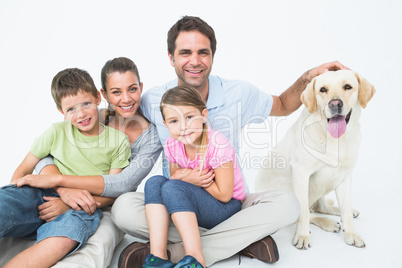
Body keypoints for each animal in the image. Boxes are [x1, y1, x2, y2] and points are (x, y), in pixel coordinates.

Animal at [256, 69, 376, 249]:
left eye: (347, 86)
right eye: (323, 89)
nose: (335, 104)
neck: (336, 140)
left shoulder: (344, 176)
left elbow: (346, 209)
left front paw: (352, 233)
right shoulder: (301, 173)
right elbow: (303, 212)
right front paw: (302, 236)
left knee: (322, 207)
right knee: (307, 212)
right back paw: (327, 223)